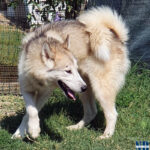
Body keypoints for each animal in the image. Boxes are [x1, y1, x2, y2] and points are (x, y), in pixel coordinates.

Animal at [11, 6, 129, 139]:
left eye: (75, 69)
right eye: (68, 71)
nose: (84, 87)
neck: (38, 78)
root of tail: (117, 37)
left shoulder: (45, 93)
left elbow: (33, 110)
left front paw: (33, 130)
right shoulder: (26, 90)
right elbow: (30, 111)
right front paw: (21, 132)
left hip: (100, 90)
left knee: (112, 114)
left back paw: (106, 136)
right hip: (85, 91)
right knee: (91, 112)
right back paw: (76, 127)